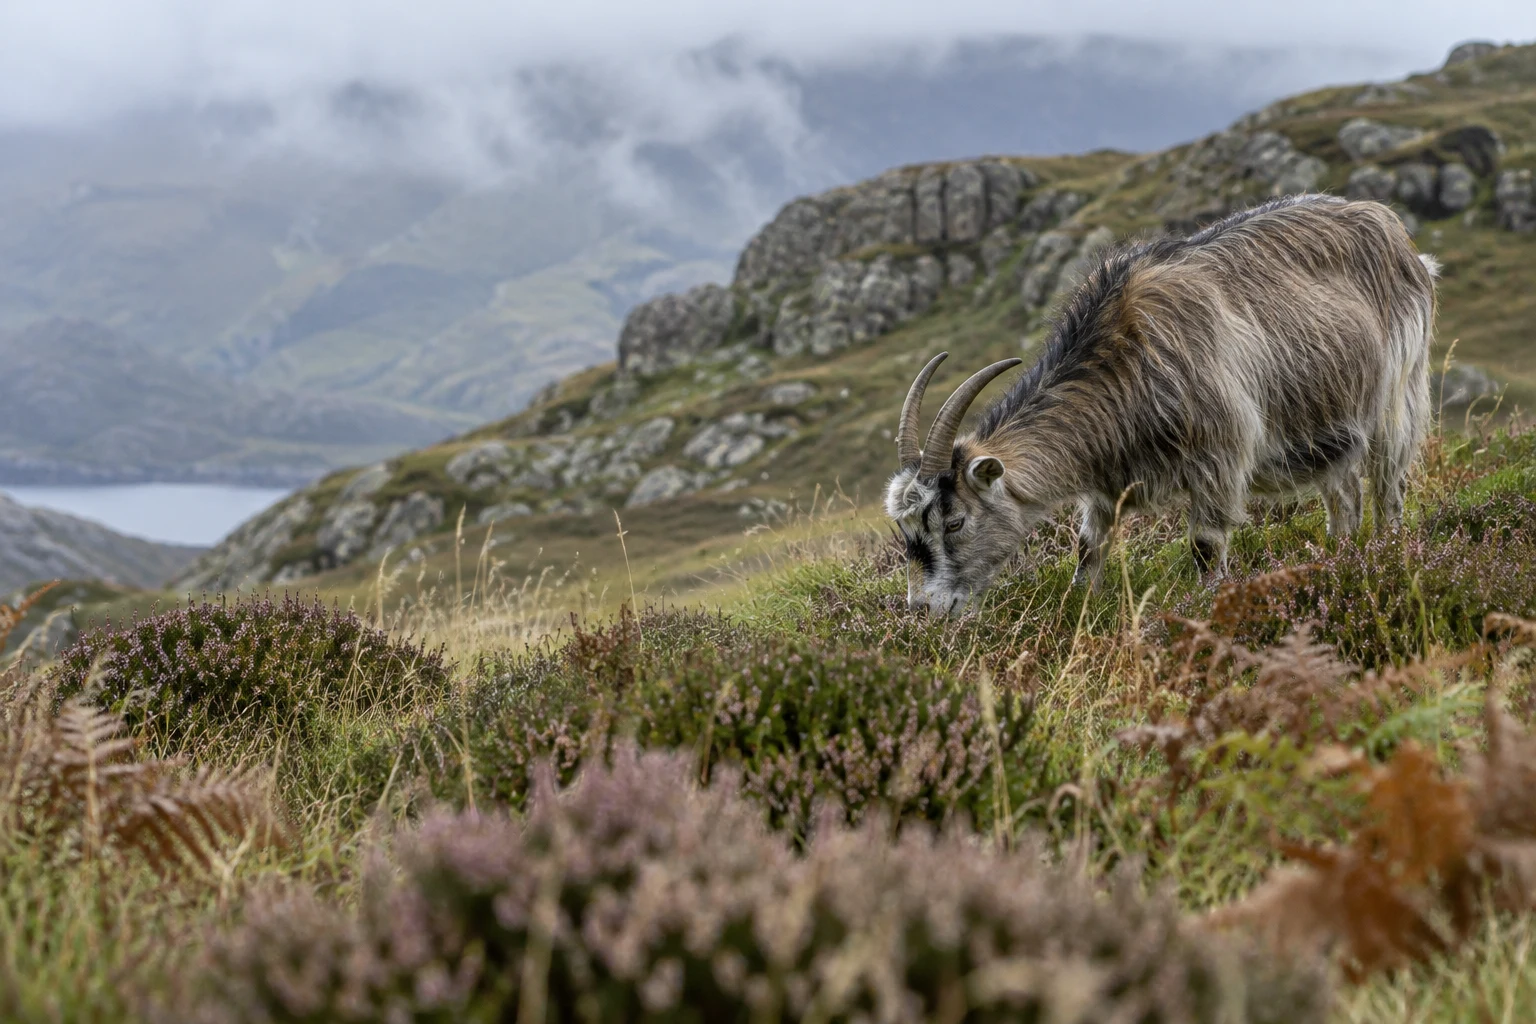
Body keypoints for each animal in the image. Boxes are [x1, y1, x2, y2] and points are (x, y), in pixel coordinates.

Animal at [885, 194, 1438, 615]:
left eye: (953, 522)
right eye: (906, 528)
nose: (925, 610)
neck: (1123, 359)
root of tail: (1396, 233)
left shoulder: (1218, 456)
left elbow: (1206, 547)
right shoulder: (1105, 487)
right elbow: (1088, 548)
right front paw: (1080, 610)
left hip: (1399, 394)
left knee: (1389, 487)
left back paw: (1388, 558)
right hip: (1330, 427)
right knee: (1345, 495)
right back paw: (1340, 563)